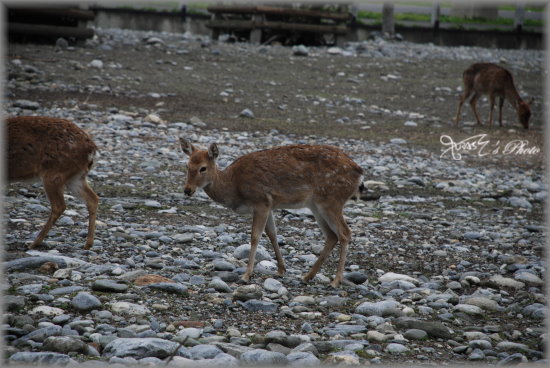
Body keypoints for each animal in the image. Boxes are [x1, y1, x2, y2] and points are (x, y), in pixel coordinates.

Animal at [7, 115, 99, 250]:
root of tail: (91, 149)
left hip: (53, 173)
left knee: (59, 205)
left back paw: (34, 243)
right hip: (75, 177)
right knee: (92, 198)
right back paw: (88, 244)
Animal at [179, 139, 366, 288]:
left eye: (203, 168)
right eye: (187, 166)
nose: (187, 190)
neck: (234, 186)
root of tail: (359, 173)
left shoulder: (260, 200)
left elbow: (255, 236)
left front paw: (246, 275)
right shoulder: (269, 205)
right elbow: (272, 234)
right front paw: (281, 269)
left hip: (331, 200)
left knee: (344, 233)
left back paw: (335, 281)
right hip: (316, 205)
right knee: (331, 235)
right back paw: (307, 276)